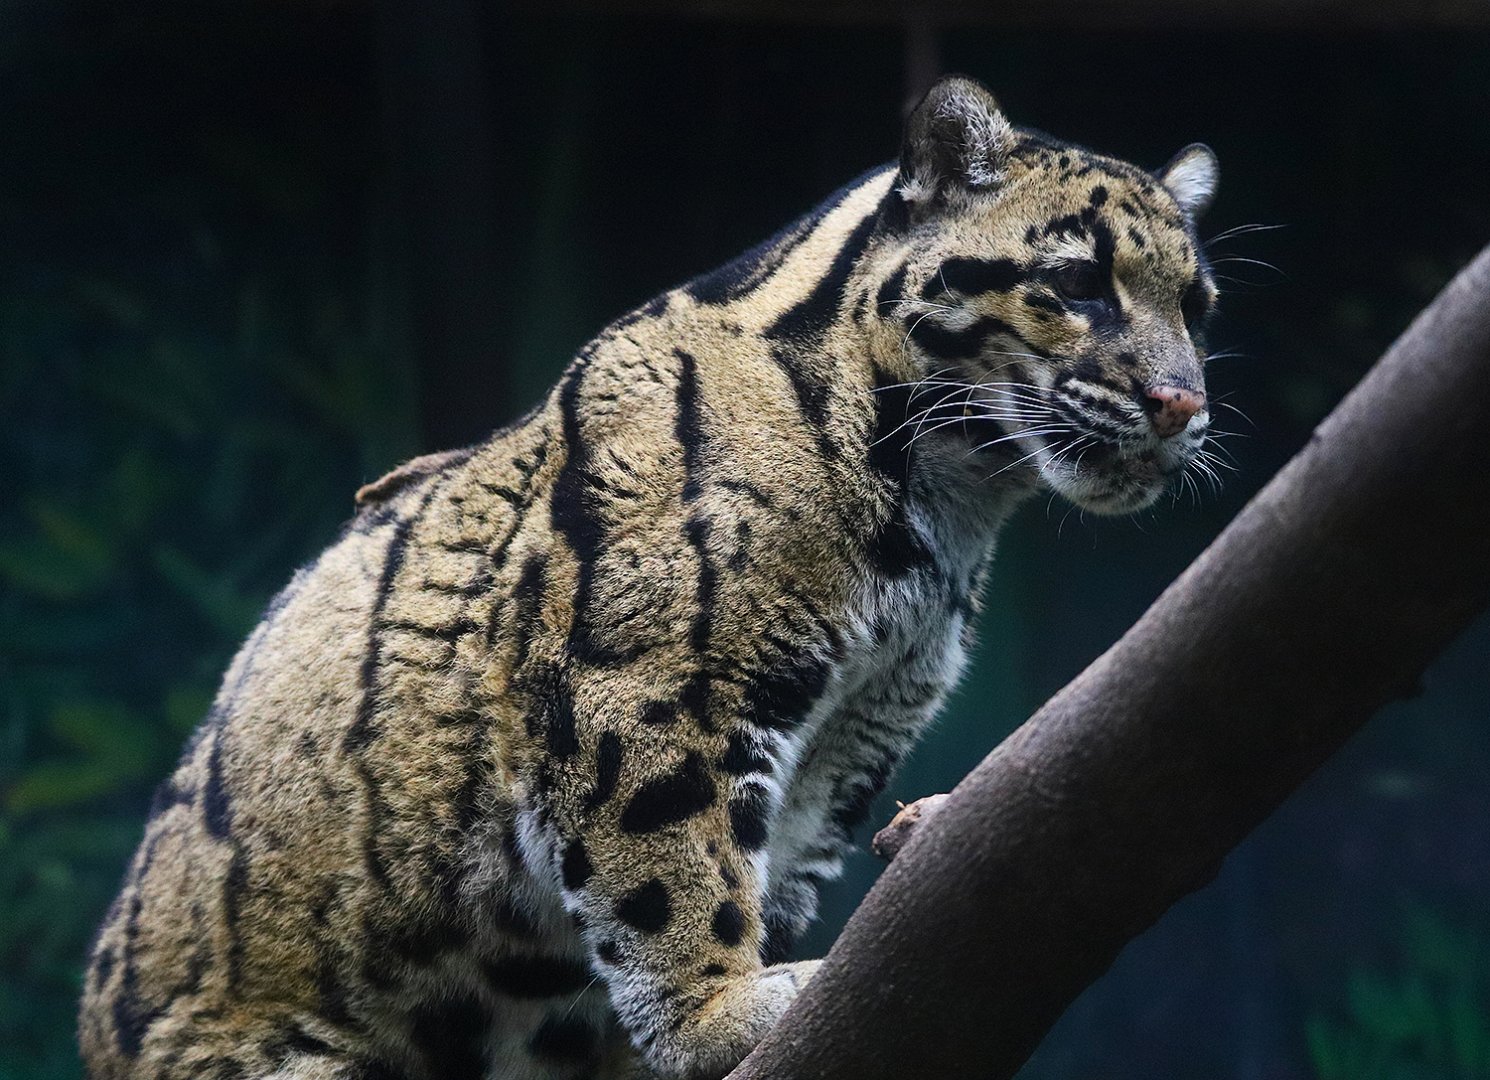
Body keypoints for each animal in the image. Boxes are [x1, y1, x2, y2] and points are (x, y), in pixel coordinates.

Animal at [80, 74, 1221, 1080]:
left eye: (1196, 306)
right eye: (1077, 284)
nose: (1182, 404)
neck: (945, 508)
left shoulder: (838, 757)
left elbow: (745, 877)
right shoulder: (643, 685)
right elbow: (673, 869)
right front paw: (721, 1016)